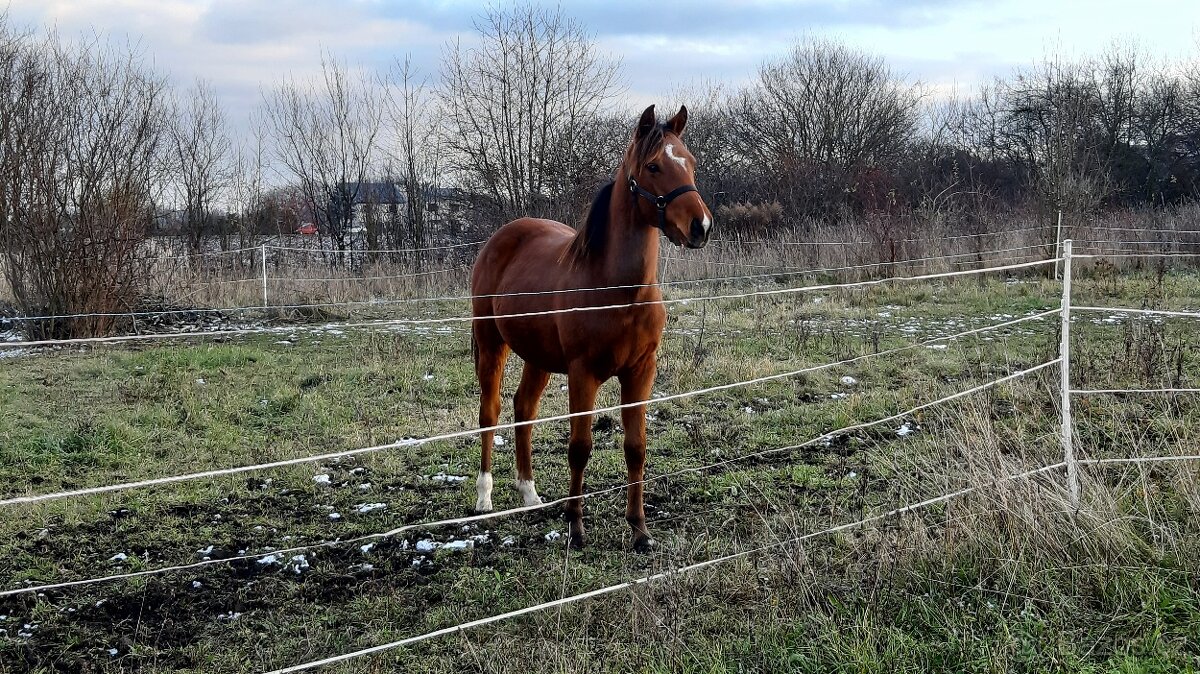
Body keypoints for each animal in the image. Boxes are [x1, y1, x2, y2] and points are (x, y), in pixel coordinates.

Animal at [469, 104, 713, 551]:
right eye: (653, 166)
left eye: (689, 163)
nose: (700, 226)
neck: (619, 292)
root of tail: (502, 237)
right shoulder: (584, 374)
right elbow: (580, 447)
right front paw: (576, 527)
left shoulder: (640, 373)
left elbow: (636, 448)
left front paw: (639, 530)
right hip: (491, 344)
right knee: (490, 412)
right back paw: (485, 497)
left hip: (538, 357)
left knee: (523, 409)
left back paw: (529, 494)